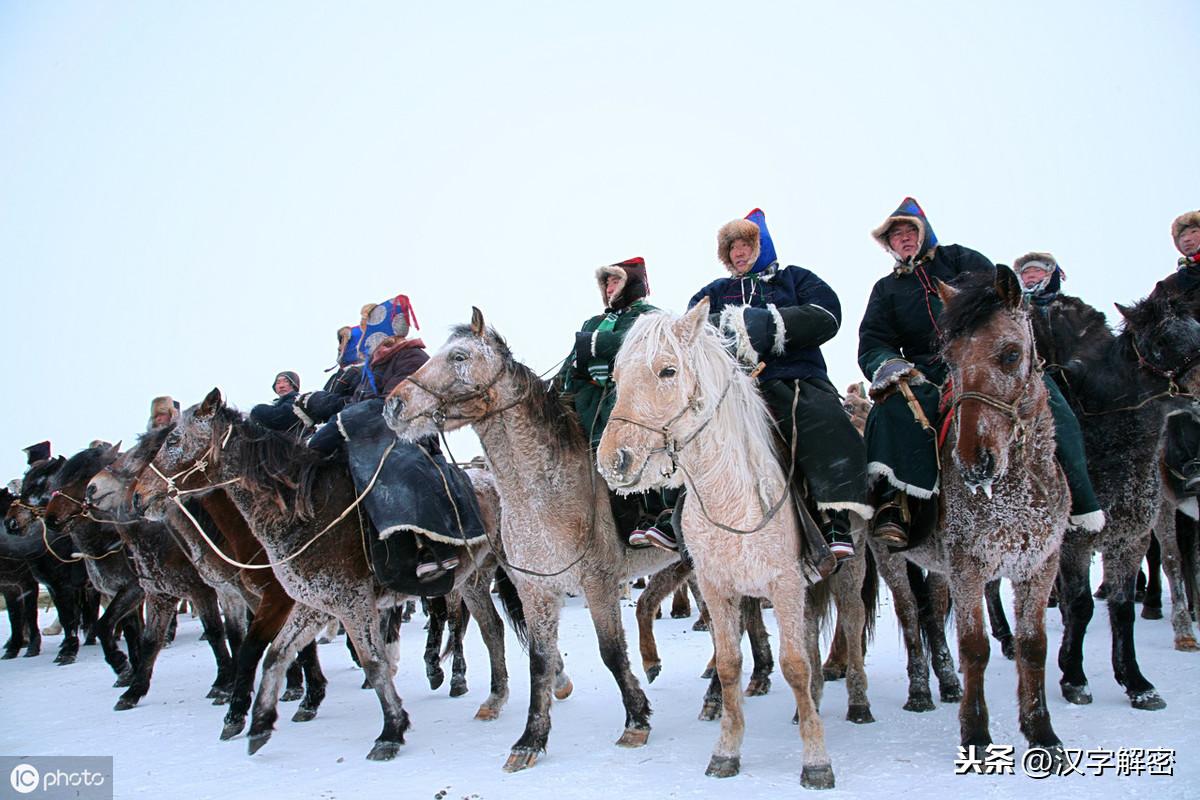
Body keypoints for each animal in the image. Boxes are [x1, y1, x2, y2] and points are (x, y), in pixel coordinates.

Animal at [386, 309, 681, 772]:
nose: (394, 405)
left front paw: (636, 720)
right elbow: (539, 661)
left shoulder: (598, 583)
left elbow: (611, 652)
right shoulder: (536, 589)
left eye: (459, 356)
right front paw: (530, 739)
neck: (545, 493)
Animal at [590, 298, 835, 782]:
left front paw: (816, 759)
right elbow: (727, 663)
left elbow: (795, 664)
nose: (614, 461)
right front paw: (726, 751)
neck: (732, 501)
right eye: (617, 377)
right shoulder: (717, 587)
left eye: (667, 370)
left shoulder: (785, 584)